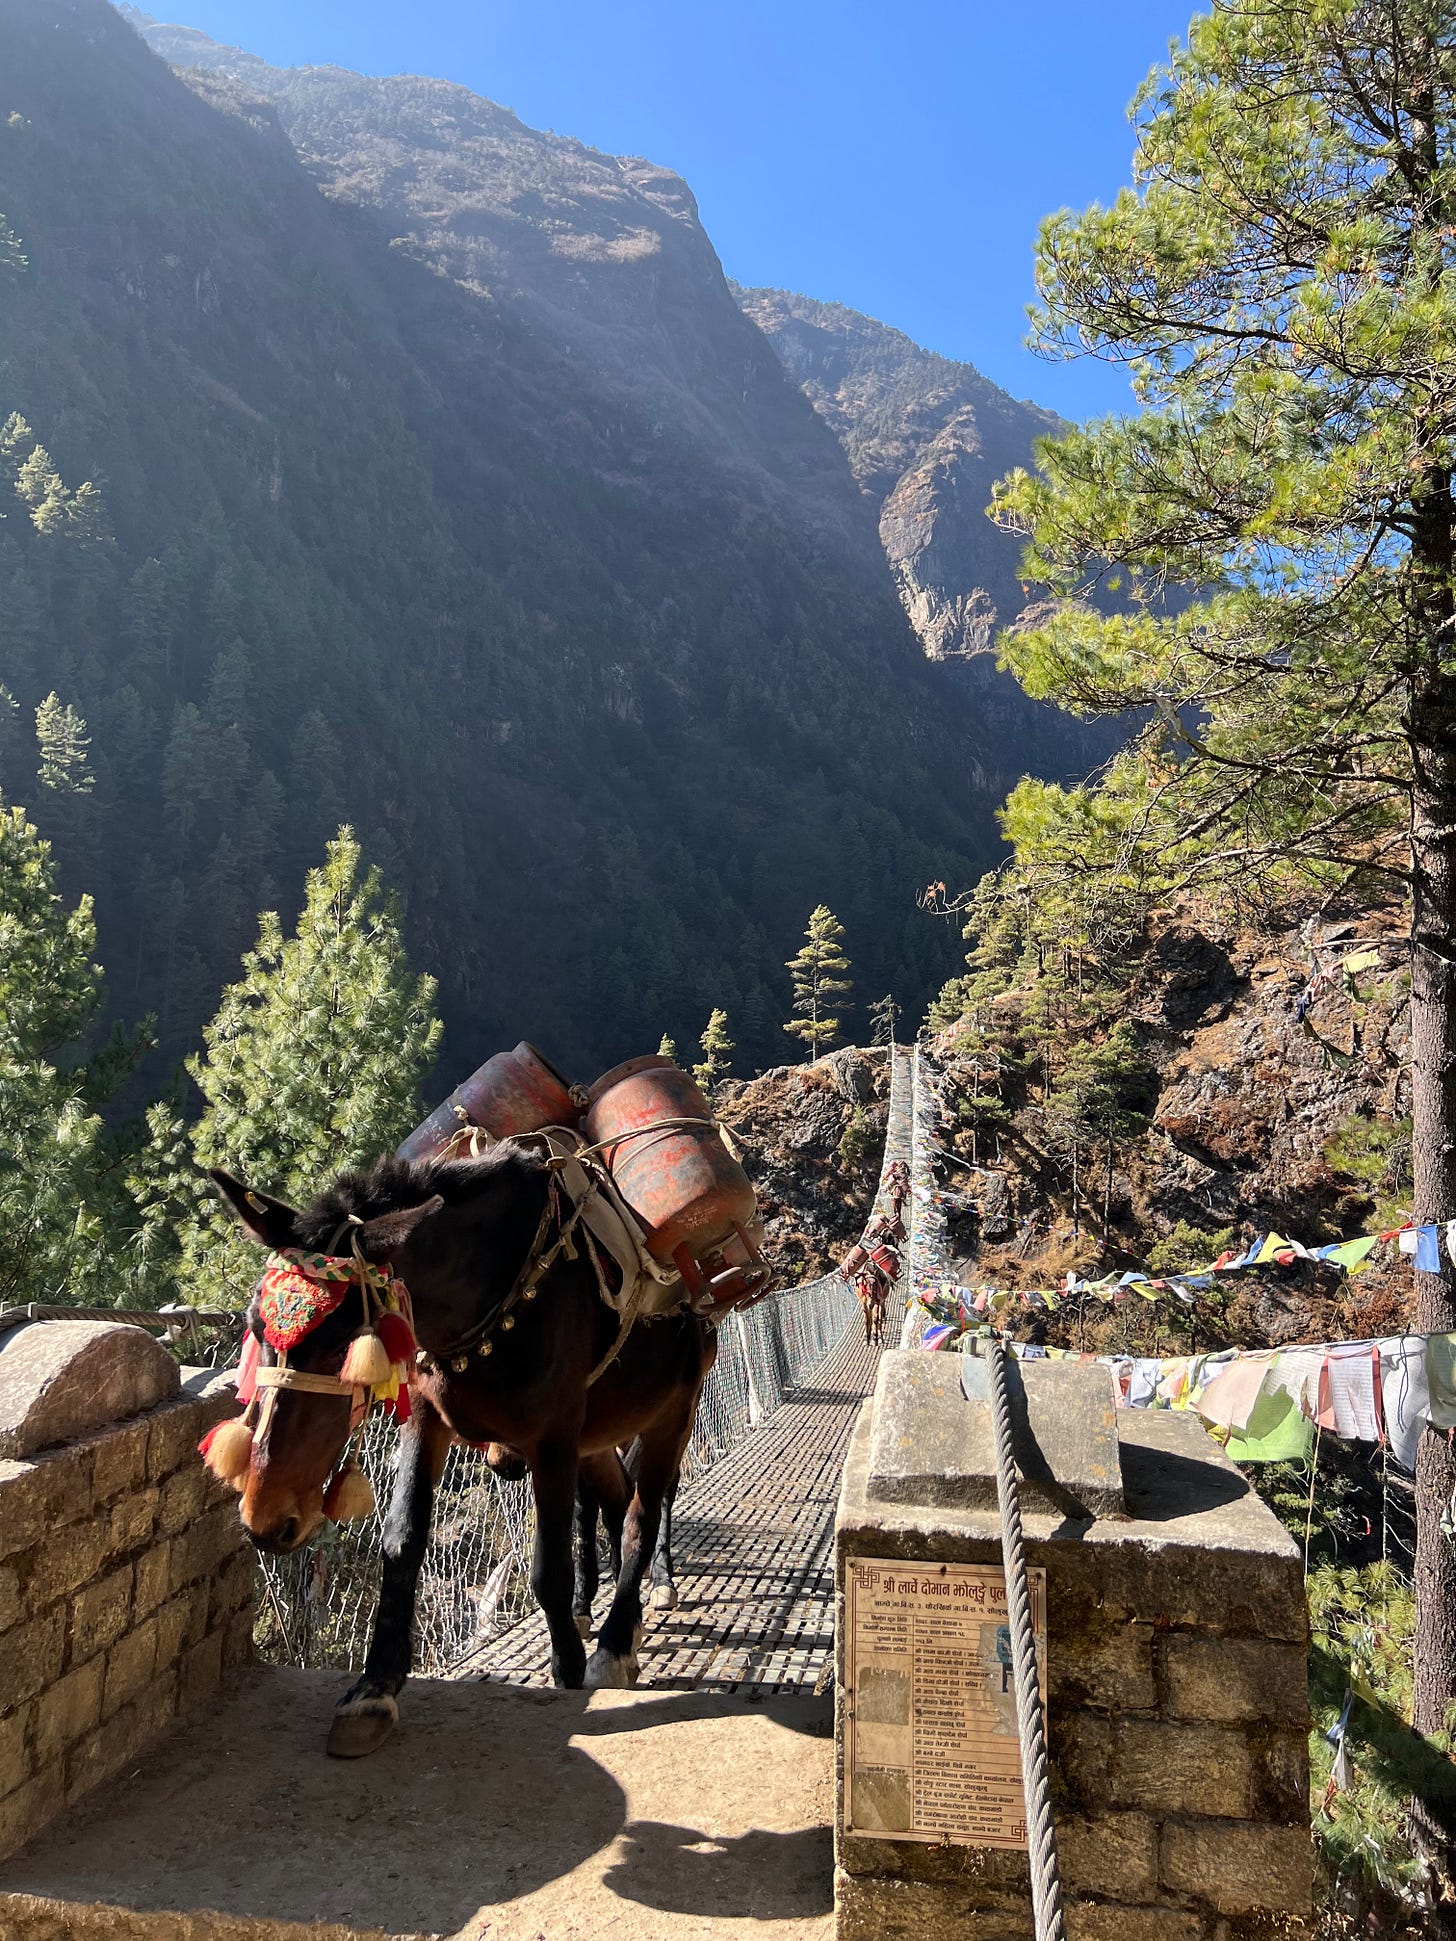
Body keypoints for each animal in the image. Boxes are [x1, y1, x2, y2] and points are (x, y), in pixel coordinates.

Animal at [210, 1142, 716, 1758]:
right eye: (256, 1327)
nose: (264, 1518)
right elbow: (402, 1540)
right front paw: (374, 1687)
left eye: (341, 1347)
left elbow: (548, 1567)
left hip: (674, 1413)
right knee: (617, 1502)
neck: (487, 1286)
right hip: (600, 1434)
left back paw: (618, 1640)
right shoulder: (428, 1420)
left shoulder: (552, 1437)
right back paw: (619, 1615)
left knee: (646, 1511)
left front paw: (569, 1669)